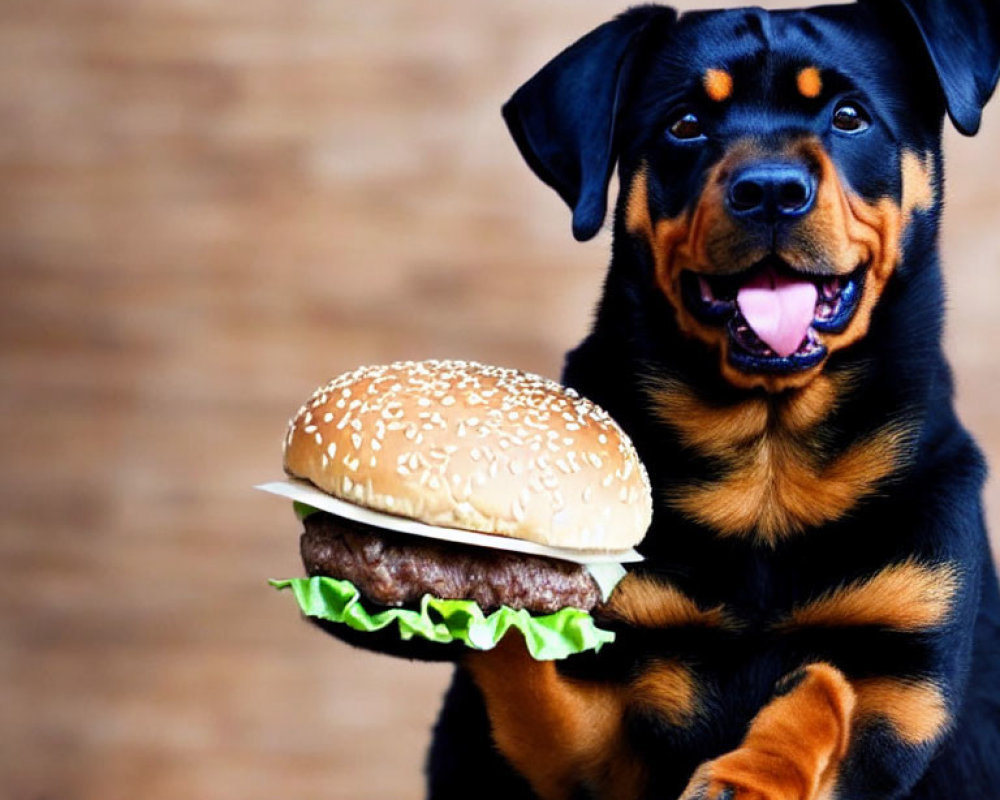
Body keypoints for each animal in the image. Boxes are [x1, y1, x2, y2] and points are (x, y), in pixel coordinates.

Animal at [312, 1, 1000, 800]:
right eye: (685, 124)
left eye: (850, 117)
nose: (771, 189)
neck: (768, 466)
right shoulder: (594, 739)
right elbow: (524, 665)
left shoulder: (902, 683)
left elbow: (827, 697)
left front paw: (753, 769)